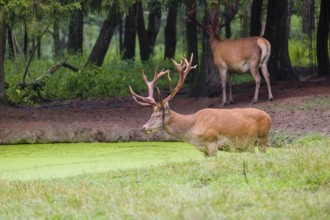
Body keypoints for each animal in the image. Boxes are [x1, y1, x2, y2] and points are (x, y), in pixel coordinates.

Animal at [129, 53, 270, 156]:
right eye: (151, 114)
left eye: (158, 115)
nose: (143, 128)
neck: (192, 129)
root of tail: (269, 117)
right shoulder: (204, 150)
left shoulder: (213, 142)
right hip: (250, 145)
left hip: (263, 138)